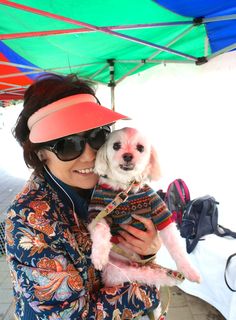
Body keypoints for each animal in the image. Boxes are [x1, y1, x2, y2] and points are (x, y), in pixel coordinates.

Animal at [87, 127, 200, 290]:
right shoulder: (98, 211)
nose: (128, 155)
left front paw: (190, 270)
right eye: (116, 145)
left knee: (151, 274)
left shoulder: (159, 211)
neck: (125, 187)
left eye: (140, 148)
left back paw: (171, 276)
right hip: (118, 271)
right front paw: (99, 256)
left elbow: (176, 245)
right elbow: (100, 231)